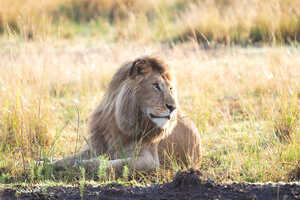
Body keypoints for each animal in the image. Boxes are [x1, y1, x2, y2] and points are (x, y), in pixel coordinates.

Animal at [51, 56, 202, 173]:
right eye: (156, 85)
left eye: (170, 88)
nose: (173, 107)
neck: (117, 125)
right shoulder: (96, 147)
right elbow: (66, 159)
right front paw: (47, 162)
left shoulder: (150, 161)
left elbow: (113, 163)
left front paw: (84, 165)